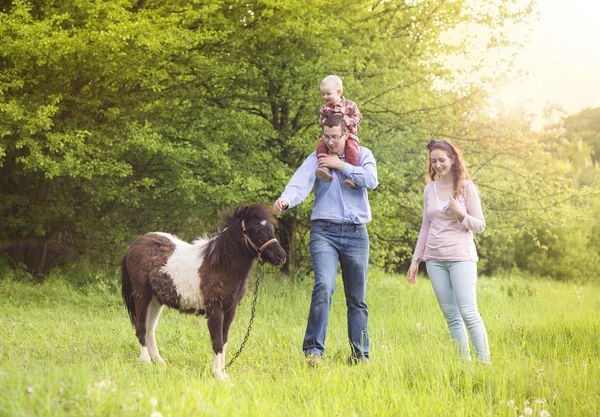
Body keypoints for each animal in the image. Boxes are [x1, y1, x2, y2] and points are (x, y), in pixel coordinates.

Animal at [120, 203, 288, 378]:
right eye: (256, 230)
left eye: (271, 229)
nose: (281, 256)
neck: (220, 265)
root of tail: (134, 245)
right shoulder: (215, 309)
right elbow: (217, 342)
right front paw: (218, 375)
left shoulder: (230, 310)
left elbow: (224, 341)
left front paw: (223, 374)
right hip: (141, 295)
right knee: (141, 326)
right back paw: (145, 361)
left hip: (155, 300)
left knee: (150, 329)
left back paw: (159, 362)